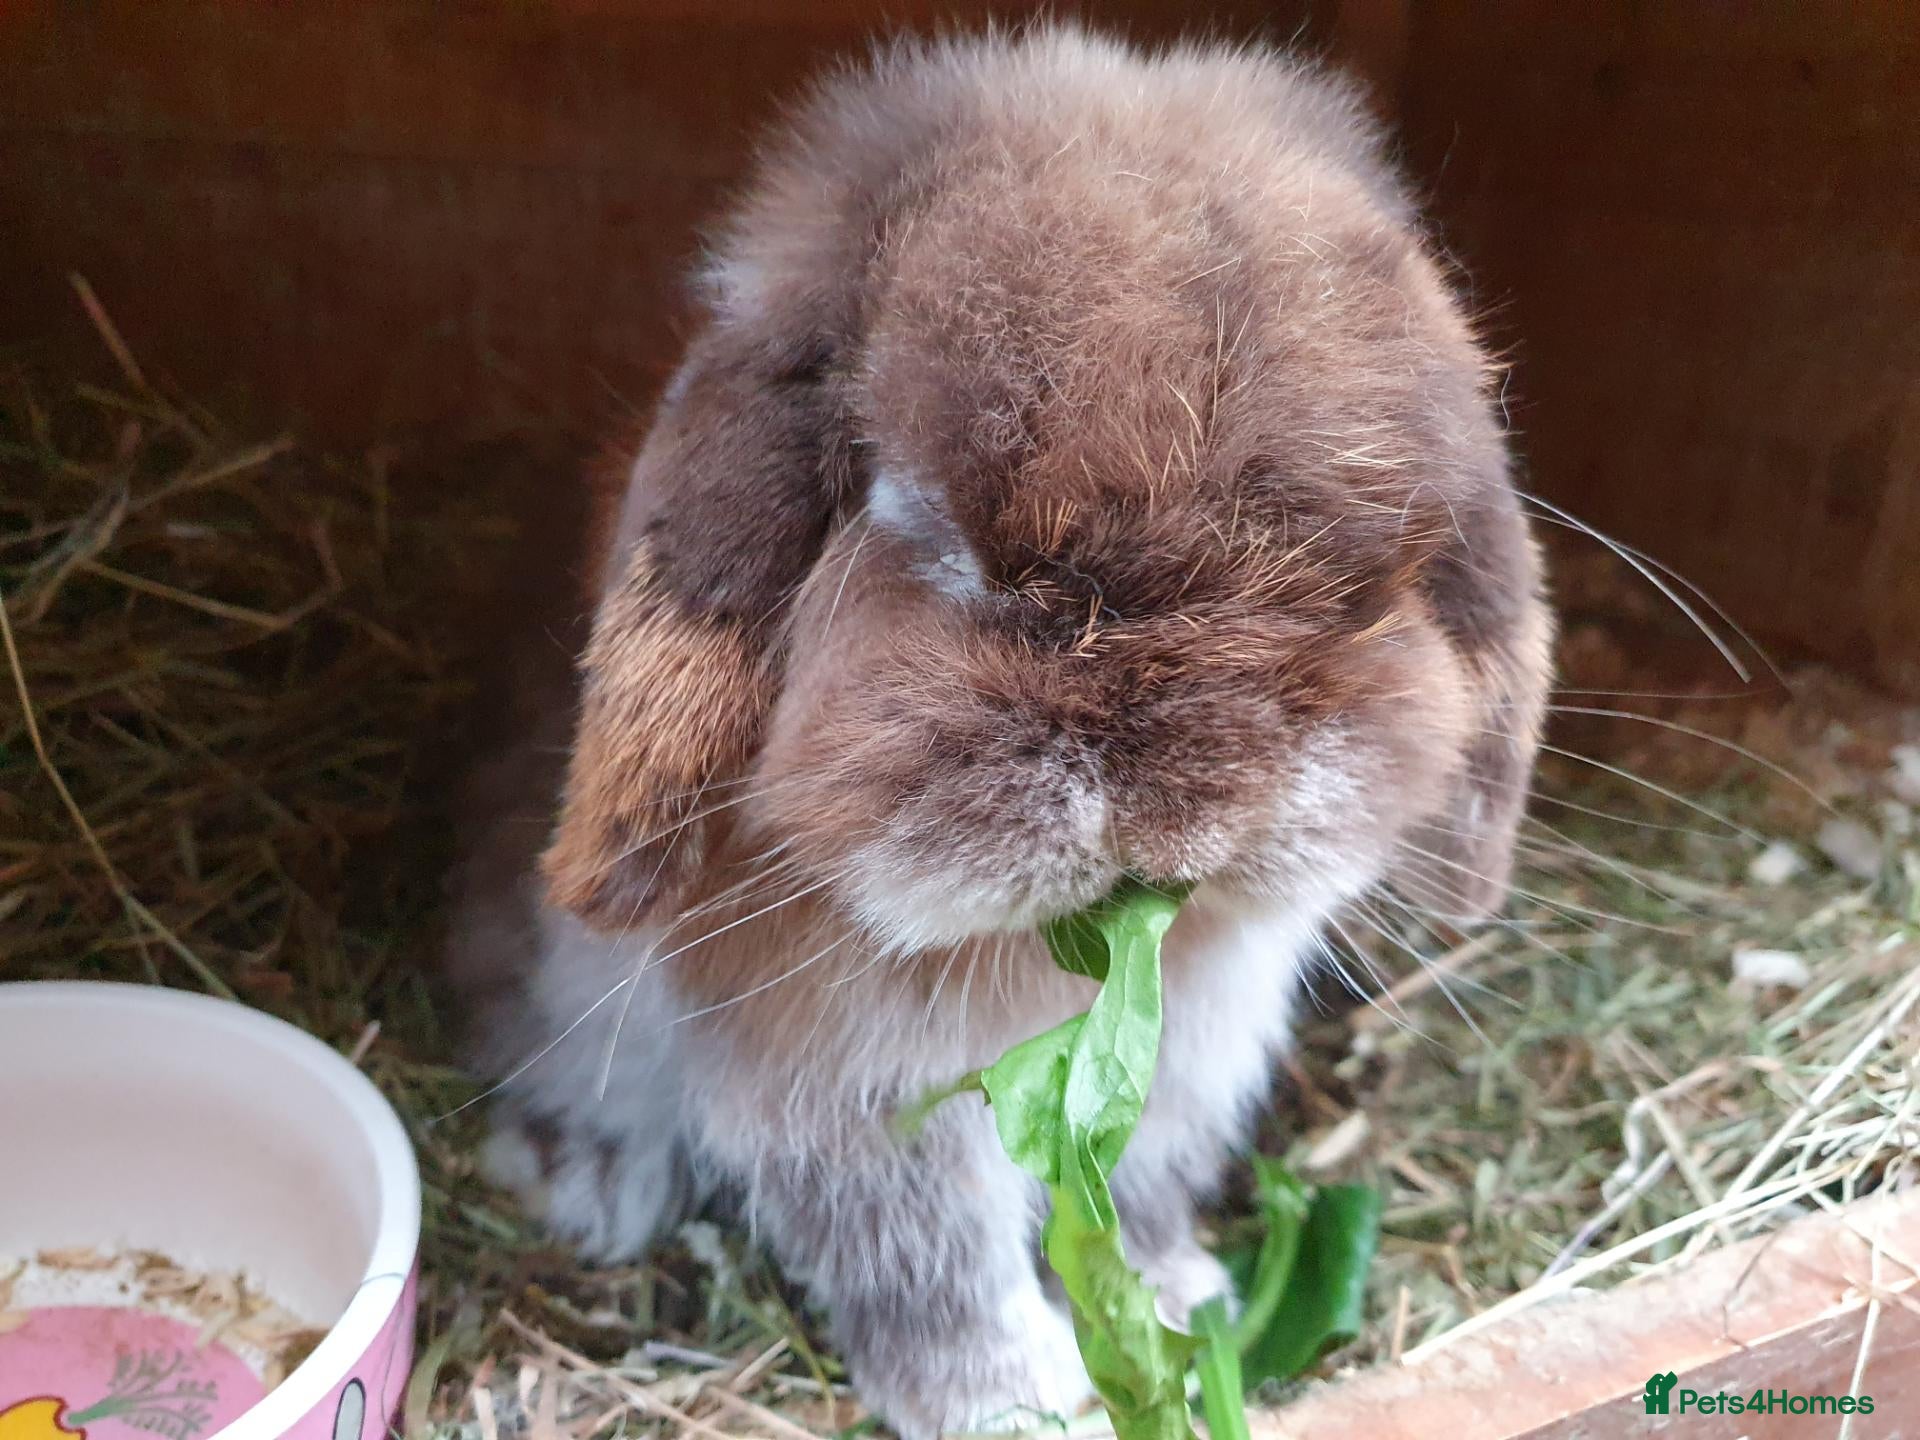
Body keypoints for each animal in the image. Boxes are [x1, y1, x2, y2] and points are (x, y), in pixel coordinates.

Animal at [448, 23, 1551, 1439]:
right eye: (921, 525)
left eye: (1366, 583)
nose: (1182, 805)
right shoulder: (846, 1085)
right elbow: (925, 1253)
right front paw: (1016, 1401)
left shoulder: (1187, 1049)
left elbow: (1134, 1187)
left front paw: (1179, 1301)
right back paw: (582, 1175)